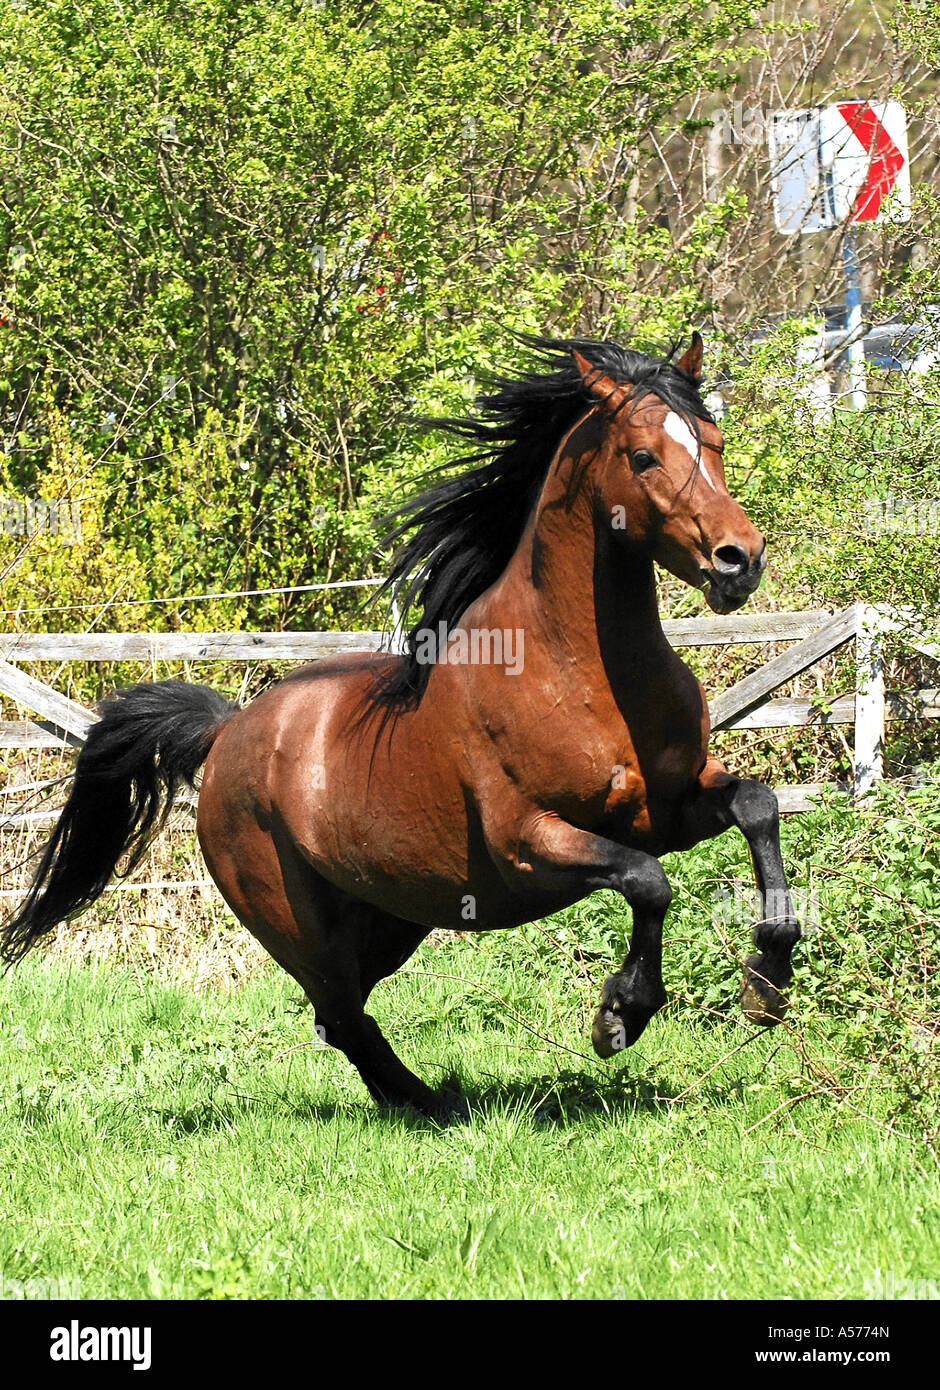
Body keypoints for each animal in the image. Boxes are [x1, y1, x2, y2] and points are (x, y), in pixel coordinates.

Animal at [1, 333, 800, 1117]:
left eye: (713, 441)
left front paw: (767, 981)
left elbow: (756, 807)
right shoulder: (530, 841)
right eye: (642, 456)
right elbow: (647, 880)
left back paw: (415, 1101)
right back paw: (431, 1105)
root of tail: (228, 732)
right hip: (298, 925)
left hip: (392, 914)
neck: (582, 675)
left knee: (342, 1016)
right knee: (341, 1014)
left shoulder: (666, 808)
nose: (741, 559)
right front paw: (620, 1014)